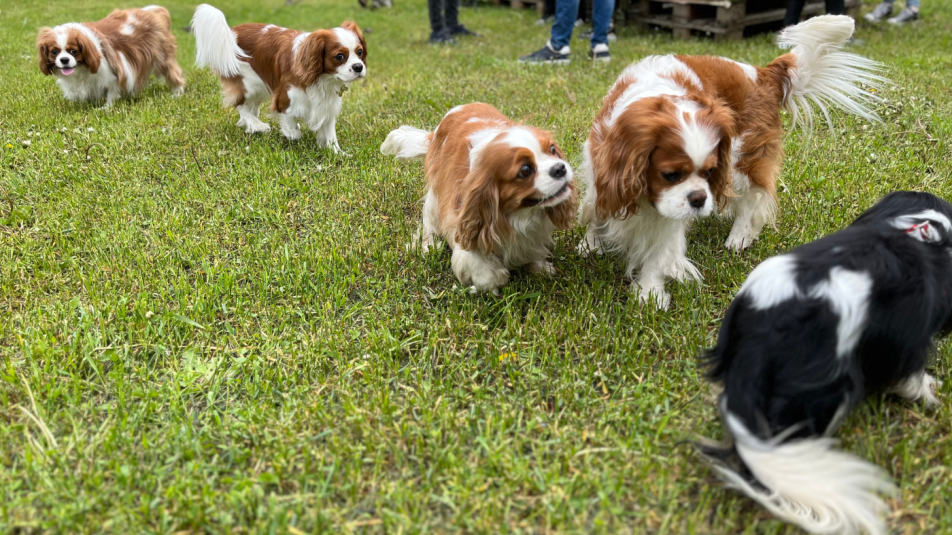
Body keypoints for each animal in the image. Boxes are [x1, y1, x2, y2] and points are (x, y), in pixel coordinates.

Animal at [38, 5, 186, 107]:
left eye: (73, 51)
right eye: (54, 52)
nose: (64, 60)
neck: (82, 68)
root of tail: (152, 12)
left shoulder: (115, 72)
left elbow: (112, 90)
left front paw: (106, 107)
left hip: (162, 57)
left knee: (174, 73)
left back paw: (177, 92)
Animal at [382, 102, 576, 296]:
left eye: (553, 150)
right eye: (525, 170)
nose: (560, 168)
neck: (519, 214)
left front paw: (538, 266)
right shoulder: (461, 218)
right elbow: (475, 262)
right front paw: (494, 280)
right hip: (436, 194)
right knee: (428, 220)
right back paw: (427, 245)